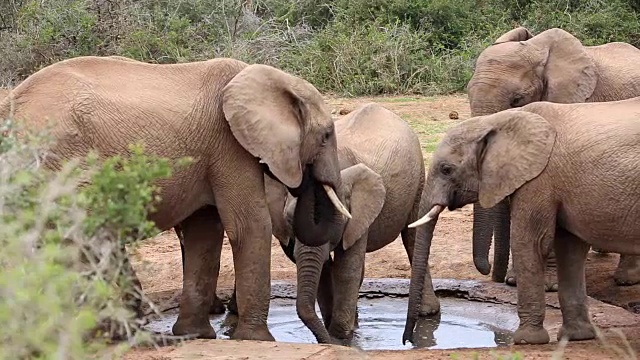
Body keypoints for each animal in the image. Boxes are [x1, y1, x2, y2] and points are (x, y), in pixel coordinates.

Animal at [0, 55, 350, 340]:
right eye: (326, 135)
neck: (269, 78)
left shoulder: (209, 154)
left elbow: (204, 232)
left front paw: (195, 336)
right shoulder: (228, 145)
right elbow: (247, 225)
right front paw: (258, 341)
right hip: (58, 159)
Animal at [402, 97, 640, 344]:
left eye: (446, 169)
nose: (407, 339)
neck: (499, 121)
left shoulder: (539, 179)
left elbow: (530, 243)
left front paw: (527, 340)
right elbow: (569, 249)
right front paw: (576, 337)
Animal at [462, 26, 640, 290]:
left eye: (517, 100)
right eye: (468, 95)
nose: (493, 274)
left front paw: (550, 286)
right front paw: (516, 280)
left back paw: (626, 279)